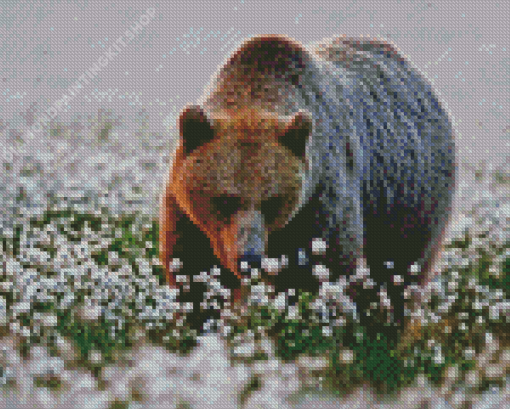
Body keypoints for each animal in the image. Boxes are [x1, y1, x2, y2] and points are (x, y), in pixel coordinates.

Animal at [159, 34, 454, 334]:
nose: (248, 259)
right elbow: (192, 275)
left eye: (272, 201)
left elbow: (315, 275)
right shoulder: (187, 213)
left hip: (409, 198)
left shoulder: (318, 201)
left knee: (400, 274)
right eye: (225, 199)